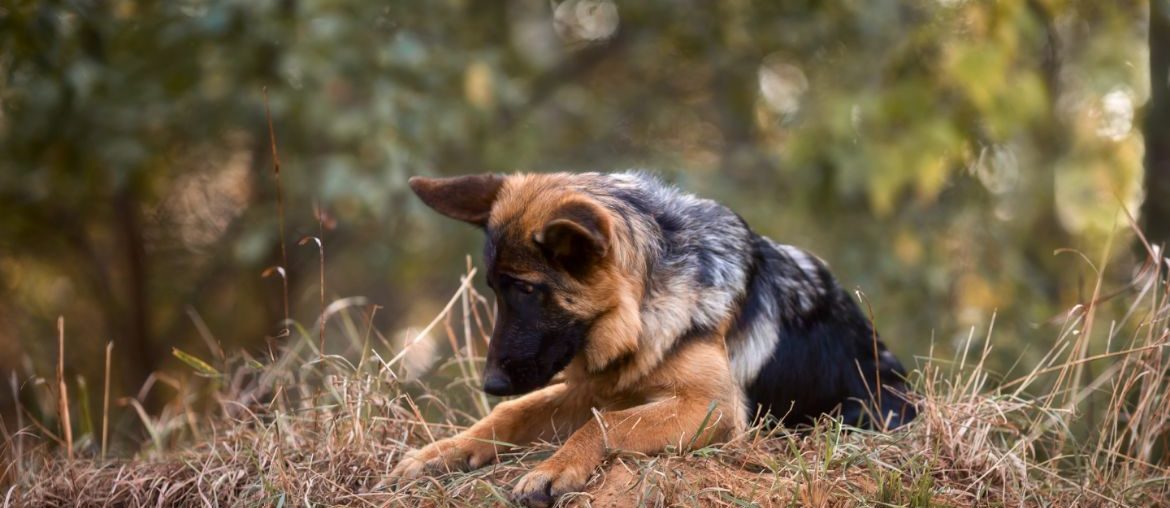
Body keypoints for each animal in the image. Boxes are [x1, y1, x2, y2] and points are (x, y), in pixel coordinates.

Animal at [390, 172, 912, 505]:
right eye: (495, 290)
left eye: (527, 290)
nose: (490, 383)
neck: (644, 309)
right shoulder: (592, 390)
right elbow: (513, 413)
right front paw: (442, 452)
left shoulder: (712, 408)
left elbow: (606, 426)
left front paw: (553, 469)